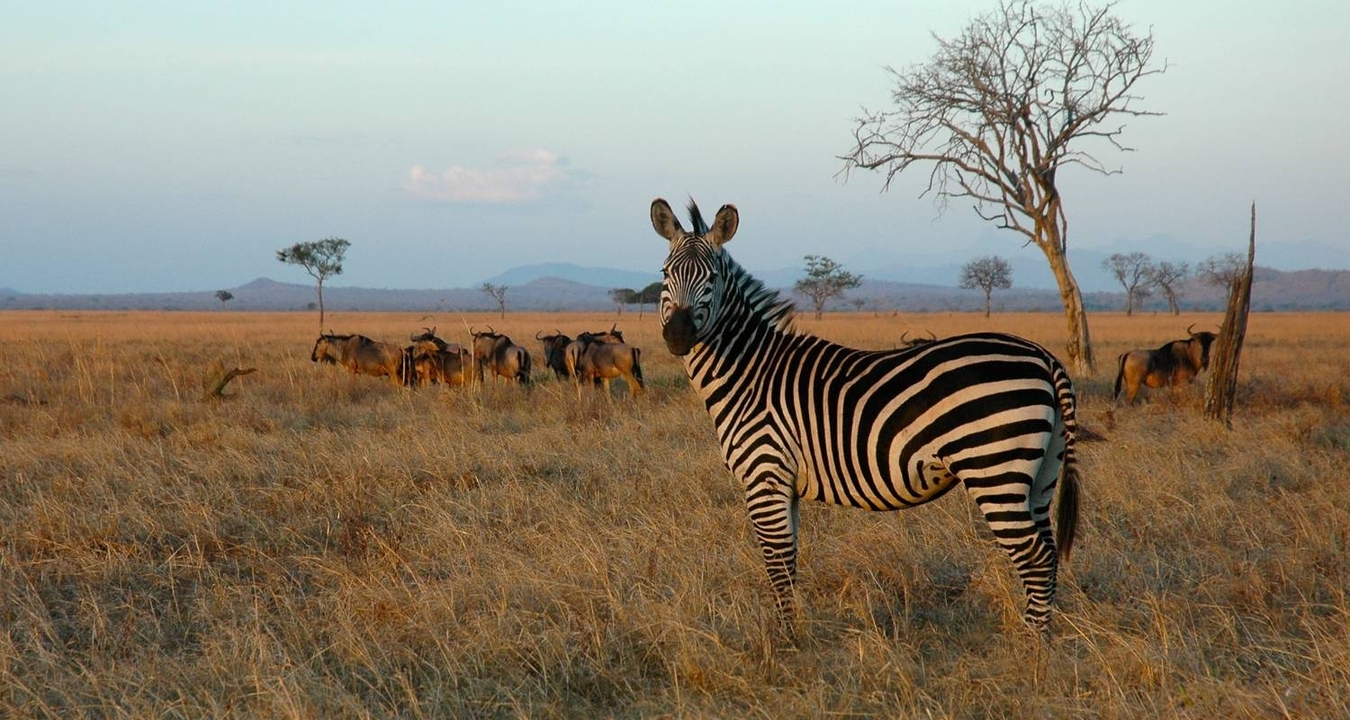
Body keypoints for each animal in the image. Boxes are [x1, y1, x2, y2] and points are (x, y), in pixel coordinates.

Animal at [649, 197, 1081, 640]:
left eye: (712, 277)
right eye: (664, 274)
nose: (678, 335)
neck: (750, 371)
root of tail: (1044, 358)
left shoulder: (765, 475)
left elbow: (776, 564)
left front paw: (786, 640)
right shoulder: (785, 485)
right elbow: (789, 560)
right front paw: (794, 631)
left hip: (994, 469)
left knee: (1035, 559)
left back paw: (1031, 647)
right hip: (1041, 474)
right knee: (1048, 554)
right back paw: (1041, 639)